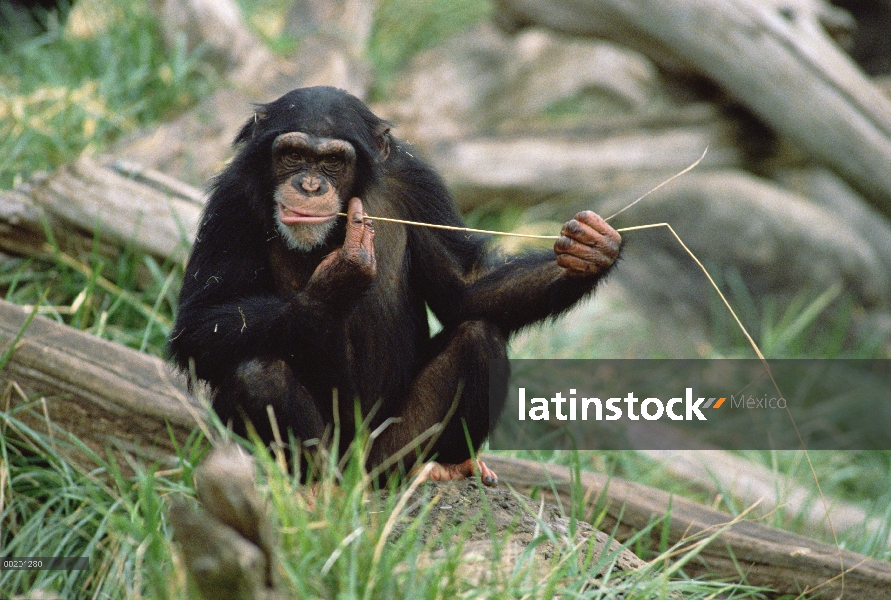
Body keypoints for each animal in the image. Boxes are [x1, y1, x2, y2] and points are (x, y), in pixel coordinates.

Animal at [171, 86, 624, 486]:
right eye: (293, 155)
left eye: (333, 160)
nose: (310, 186)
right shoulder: (232, 199)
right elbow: (197, 323)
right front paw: (339, 279)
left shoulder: (417, 181)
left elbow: (463, 290)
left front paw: (590, 251)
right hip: (338, 456)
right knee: (256, 374)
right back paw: (319, 488)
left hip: (394, 451)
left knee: (477, 337)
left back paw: (446, 466)